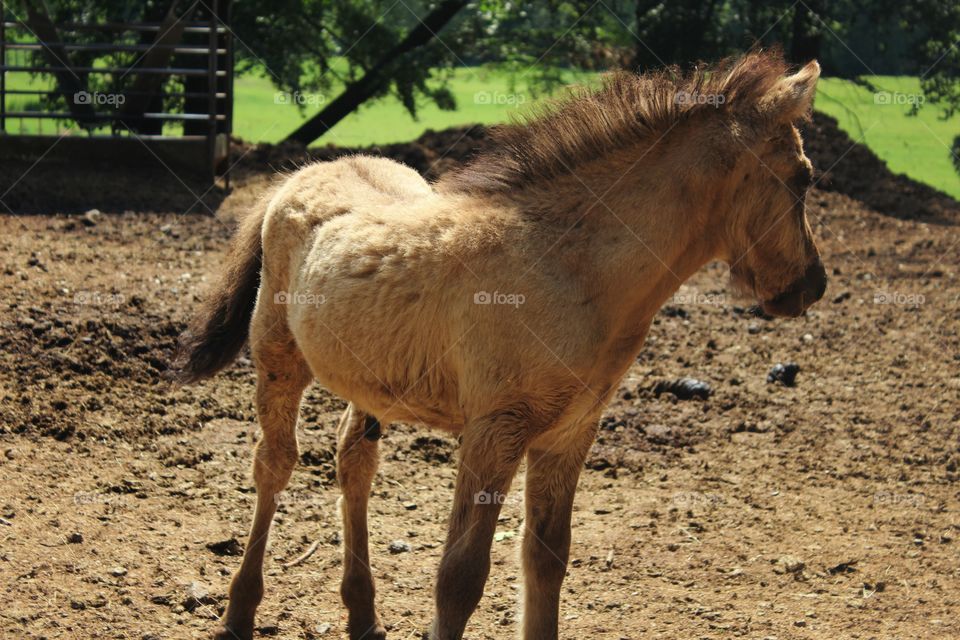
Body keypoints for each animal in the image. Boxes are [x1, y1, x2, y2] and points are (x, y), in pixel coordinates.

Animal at [175, 51, 827, 640]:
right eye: (803, 177)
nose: (813, 286)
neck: (567, 267)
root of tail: (295, 176)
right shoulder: (495, 430)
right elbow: (459, 576)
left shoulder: (569, 433)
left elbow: (545, 559)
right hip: (277, 357)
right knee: (274, 464)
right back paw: (238, 611)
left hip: (369, 379)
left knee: (353, 463)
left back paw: (363, 615)